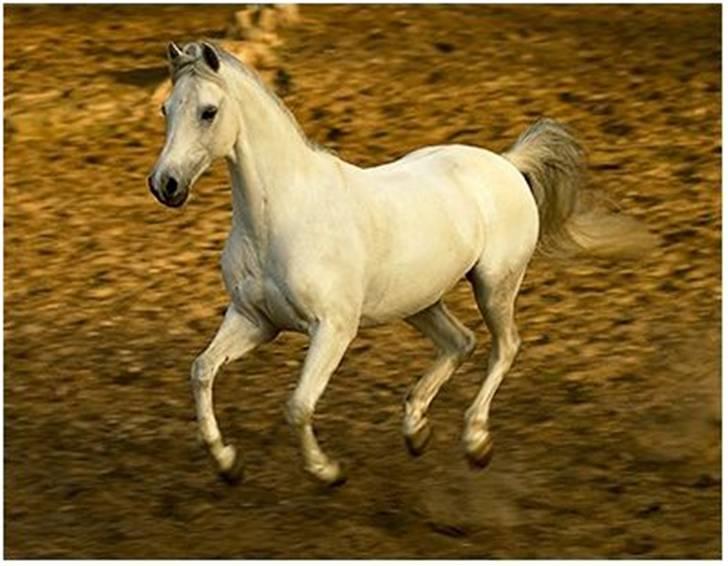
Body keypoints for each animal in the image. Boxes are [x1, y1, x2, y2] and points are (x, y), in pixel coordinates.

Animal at [149, 42, 648, 486]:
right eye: (166, 109)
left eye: (208, 111)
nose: (165, 184)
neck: (278, 217)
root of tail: (507, 164)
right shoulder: (254, 320)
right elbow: (202, 370)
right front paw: (228, 463)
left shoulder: (333, 329)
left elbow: (298, 405)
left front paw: (328, 472)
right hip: (419, 301)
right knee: (460, 342)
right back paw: (416, 430)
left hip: (494, 285)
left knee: (503, 347)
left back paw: (476, 441)